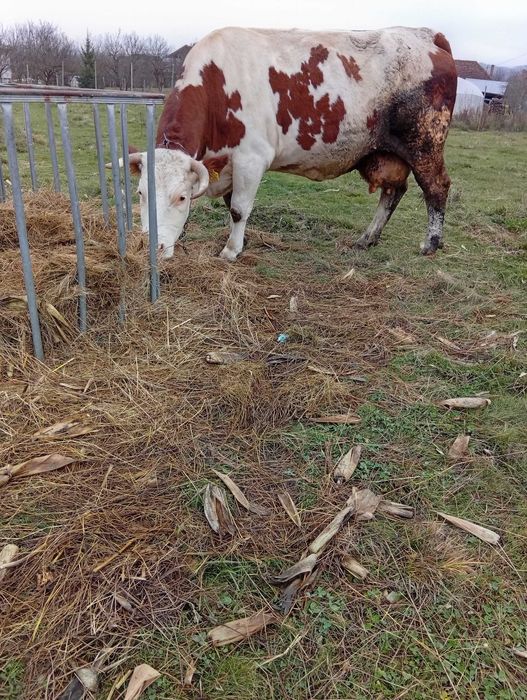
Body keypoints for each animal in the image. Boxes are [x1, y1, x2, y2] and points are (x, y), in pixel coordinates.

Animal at [127, 26, 457, 260]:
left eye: (181, 197)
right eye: (141, 193)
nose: (151, 247)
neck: (217, 85)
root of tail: (427, 35)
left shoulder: (251, 158)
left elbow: (238, 209)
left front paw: (231, 251)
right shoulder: (229, 166)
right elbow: (230, 204)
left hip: (425, 143)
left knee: (436, 187)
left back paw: (430, 244)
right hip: (384, 154)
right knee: (393, 191)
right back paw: (367, 238)